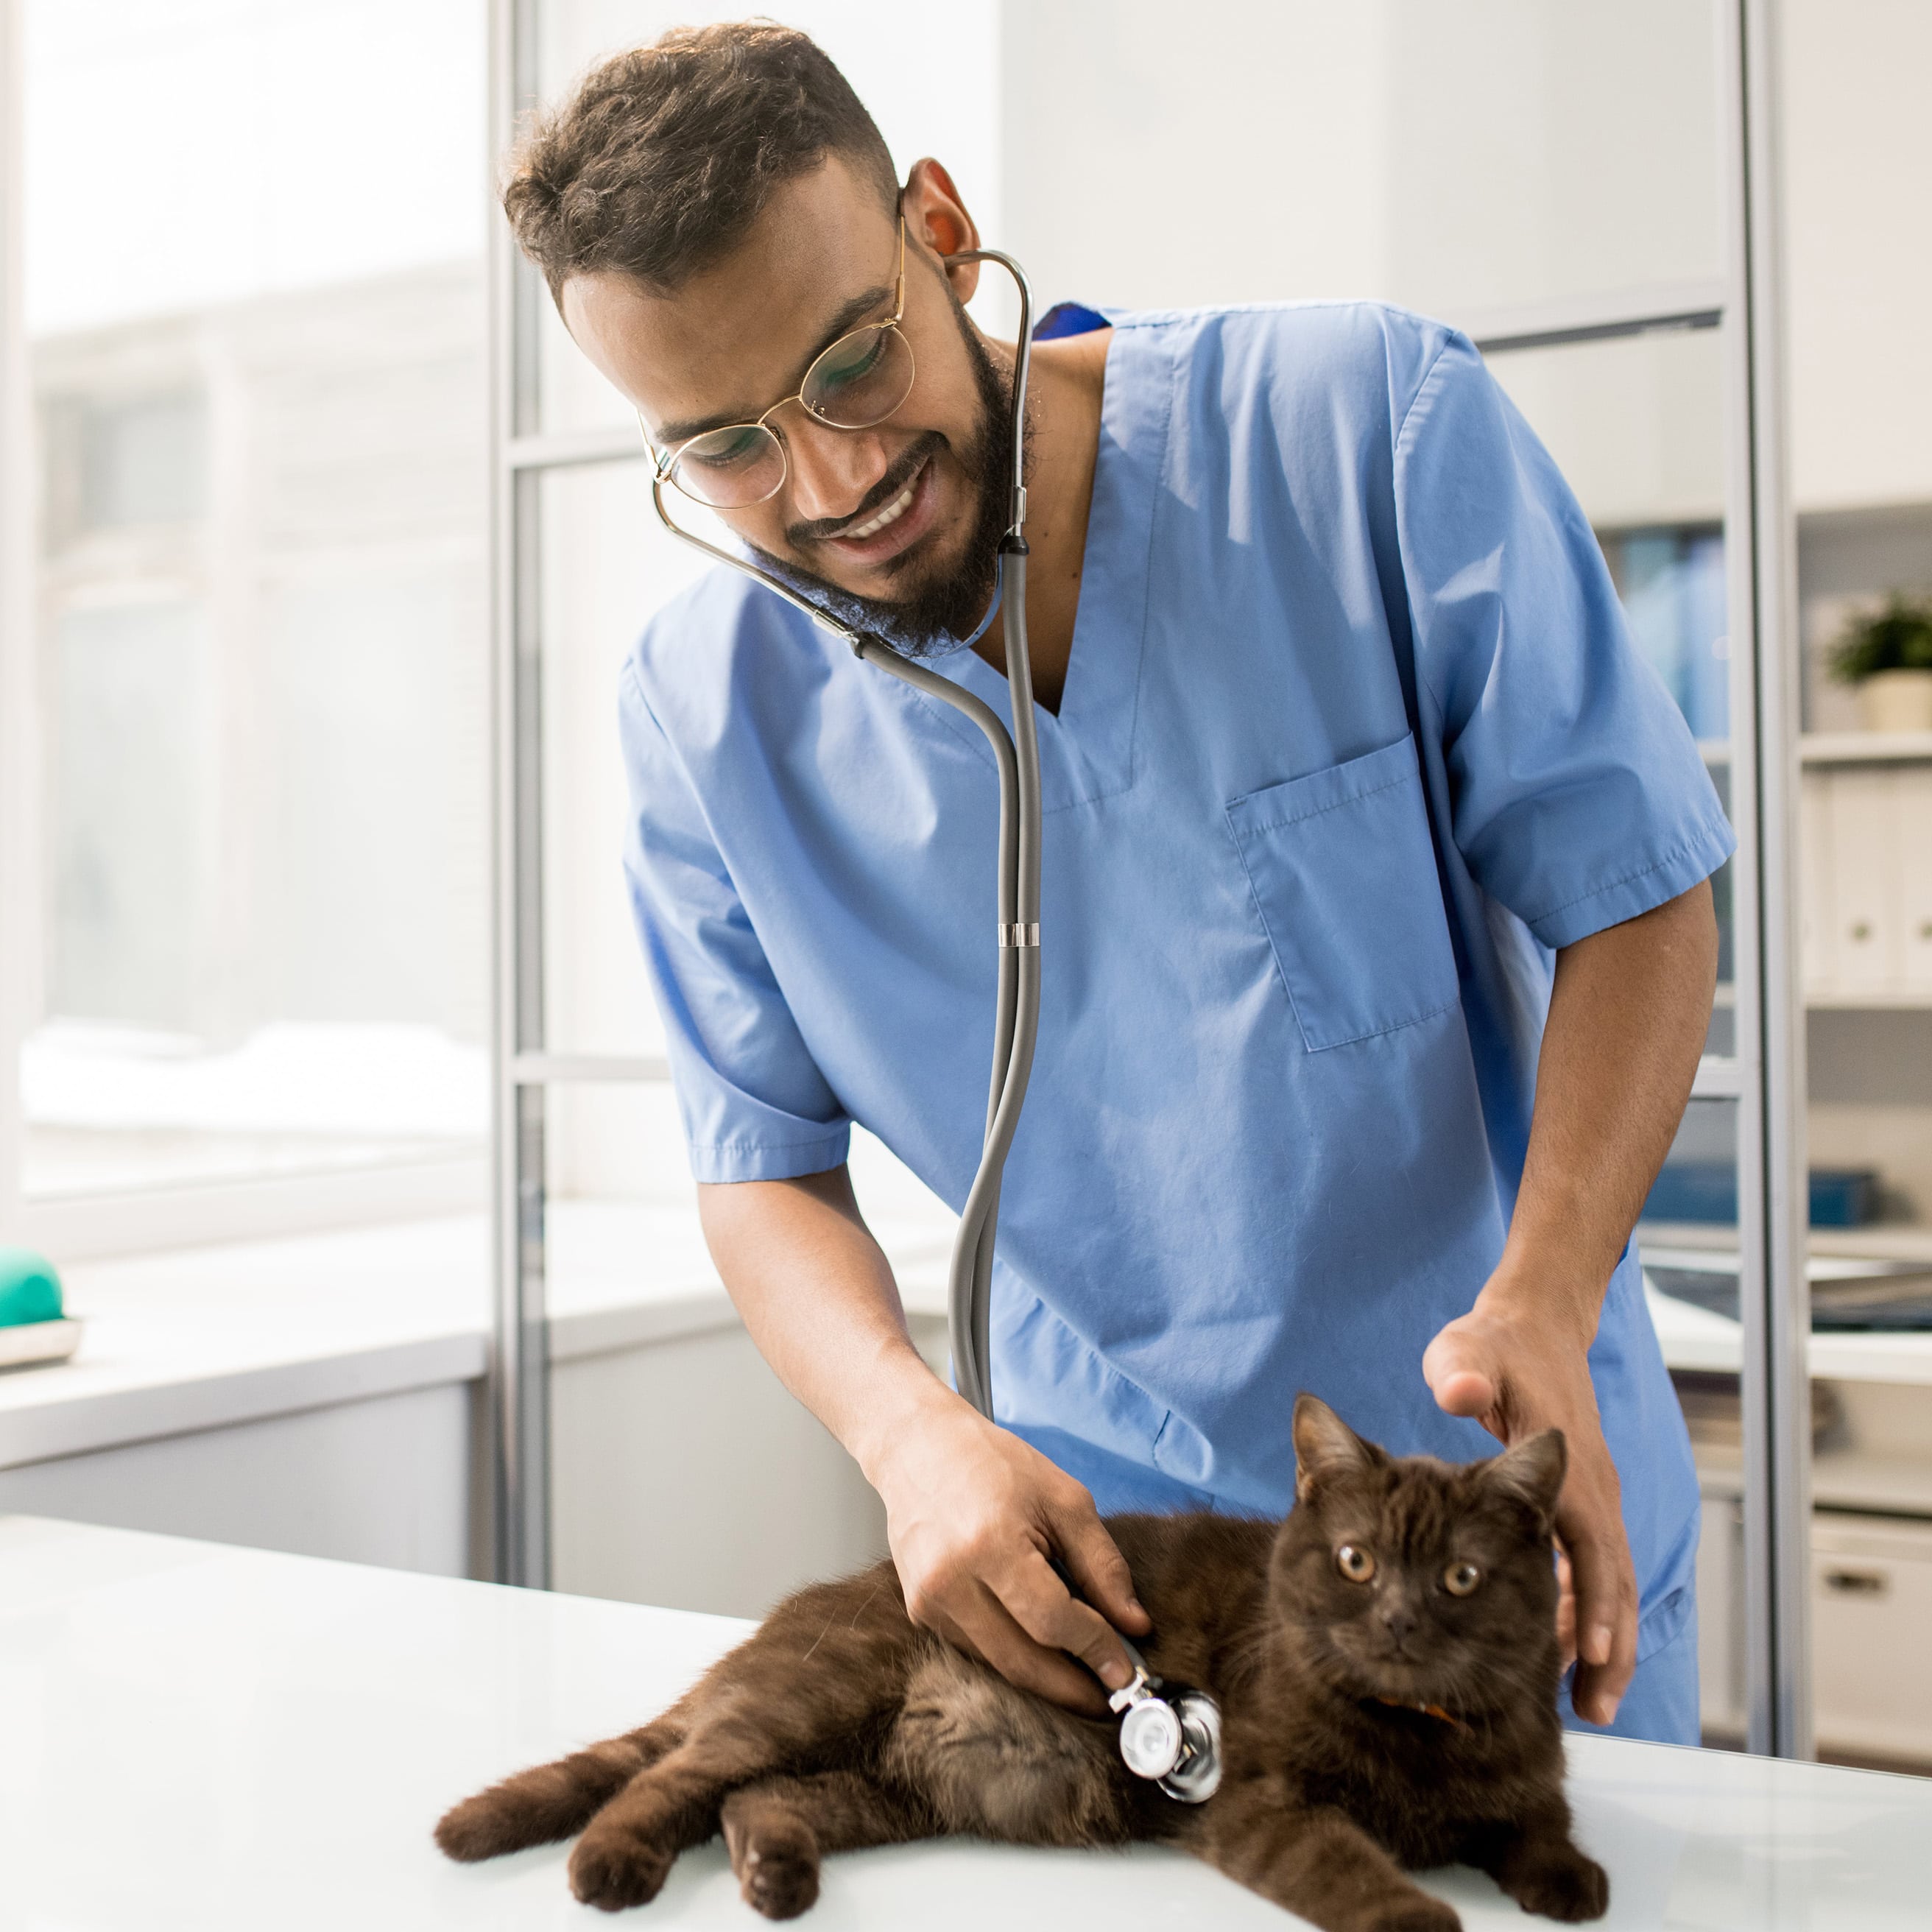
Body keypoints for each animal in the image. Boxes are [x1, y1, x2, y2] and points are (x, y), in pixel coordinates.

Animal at [438, 1391, 1599, 1932]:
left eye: (1459, 1577)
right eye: (1357, 1561)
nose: (1398, 1619)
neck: (1418, 1736)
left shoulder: (1527, 1764)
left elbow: (1543, 1825)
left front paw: (1568, 1882)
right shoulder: (1263, 1800)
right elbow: (1345, 1864)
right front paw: (1420, 1913)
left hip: (894, 1785)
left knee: (753, 1800)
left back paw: (777, 1876)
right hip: (816, 1698)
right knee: (673, 1777)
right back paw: (610, 1865)